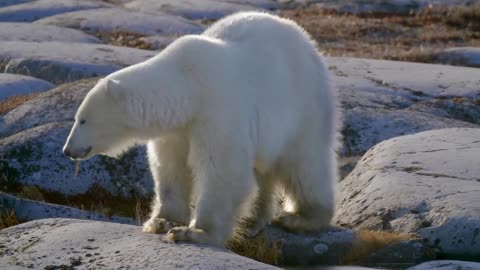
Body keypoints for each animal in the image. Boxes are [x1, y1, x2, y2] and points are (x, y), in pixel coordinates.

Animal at [63, 11, 340, 246]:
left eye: (83, 119)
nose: (67, 150)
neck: (188, 86)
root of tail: (306, 40)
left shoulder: (217, 109)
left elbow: (222, 170)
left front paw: (194, 232)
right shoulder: (176, 128)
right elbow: (170, 168)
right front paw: (162, 221)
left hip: (304, 104)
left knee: (304, 163)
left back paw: (301, 218)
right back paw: (253, 221)